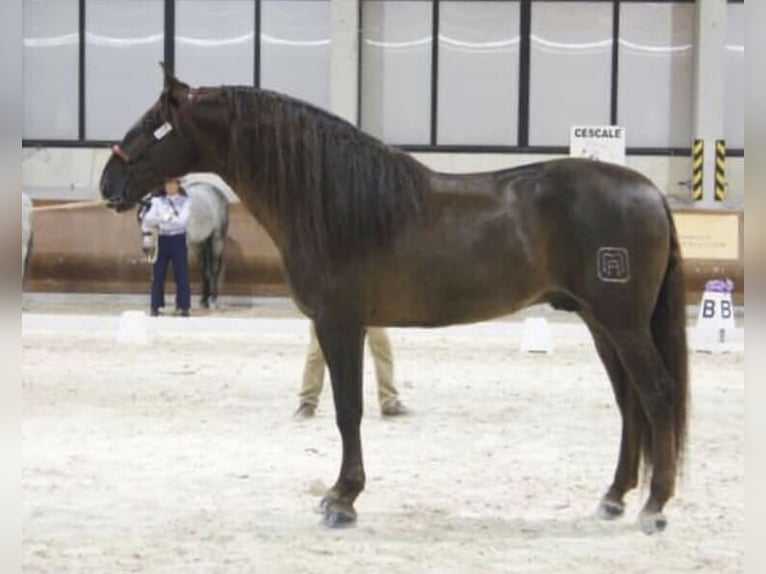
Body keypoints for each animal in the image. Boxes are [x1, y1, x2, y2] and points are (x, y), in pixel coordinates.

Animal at [138, 181, 230, 310]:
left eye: (152, 218)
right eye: (141, 219)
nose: (146, 249)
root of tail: (217, 192)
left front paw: (179, 306)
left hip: (217, 238)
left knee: (214, 268)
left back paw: (213, 300)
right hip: (199, 243)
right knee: (204, 269)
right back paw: (203, 301)